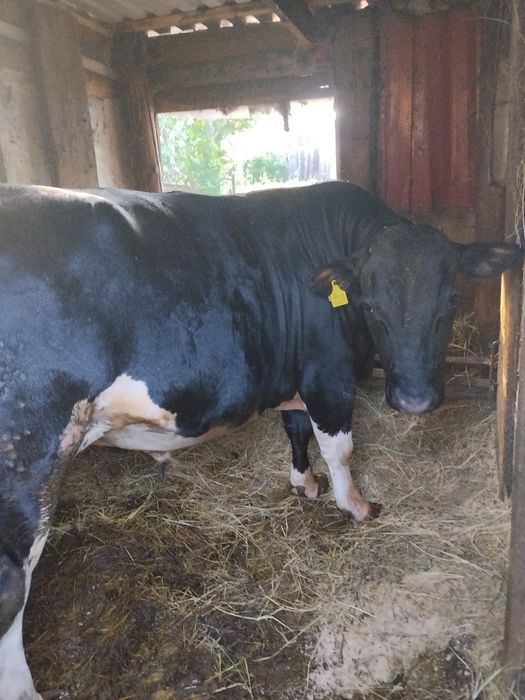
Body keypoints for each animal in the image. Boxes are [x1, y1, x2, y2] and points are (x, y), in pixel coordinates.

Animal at [0, 181, 521, 699]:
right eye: (371, 306)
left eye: (452, 299)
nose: (415, 400)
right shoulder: (328, 376)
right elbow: (339, 447)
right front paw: (353, 505)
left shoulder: (295, 378)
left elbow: (296, 430)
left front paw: (304, 484)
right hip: (26, 463)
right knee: (11, 590)